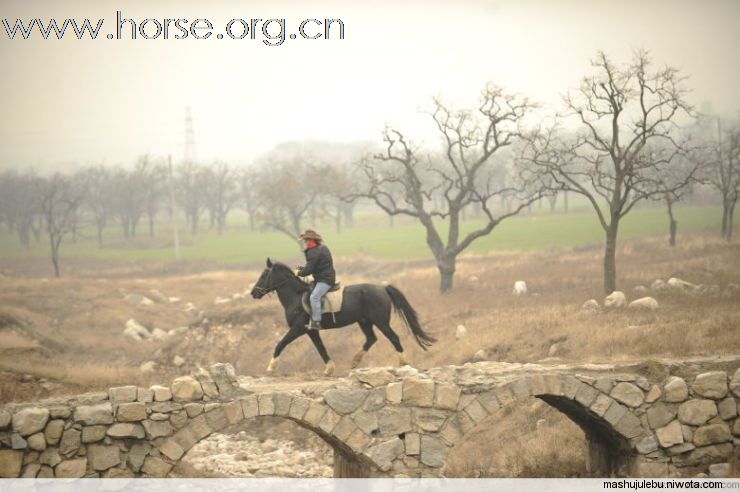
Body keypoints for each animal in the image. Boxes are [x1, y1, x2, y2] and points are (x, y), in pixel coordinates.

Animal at [250, 260, 434, 374]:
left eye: (263, 274)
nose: (253, 293)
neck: (296, 297)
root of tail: (383, 289)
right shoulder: (311, 331)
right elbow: (321, 348)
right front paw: (329, 369)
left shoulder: (298, 329)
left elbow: (281, 344)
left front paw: (271, 367)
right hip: (364, 322)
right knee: (371, 339)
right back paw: (354, 361)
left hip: (380, 322)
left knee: (393, 338)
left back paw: (403, 363)